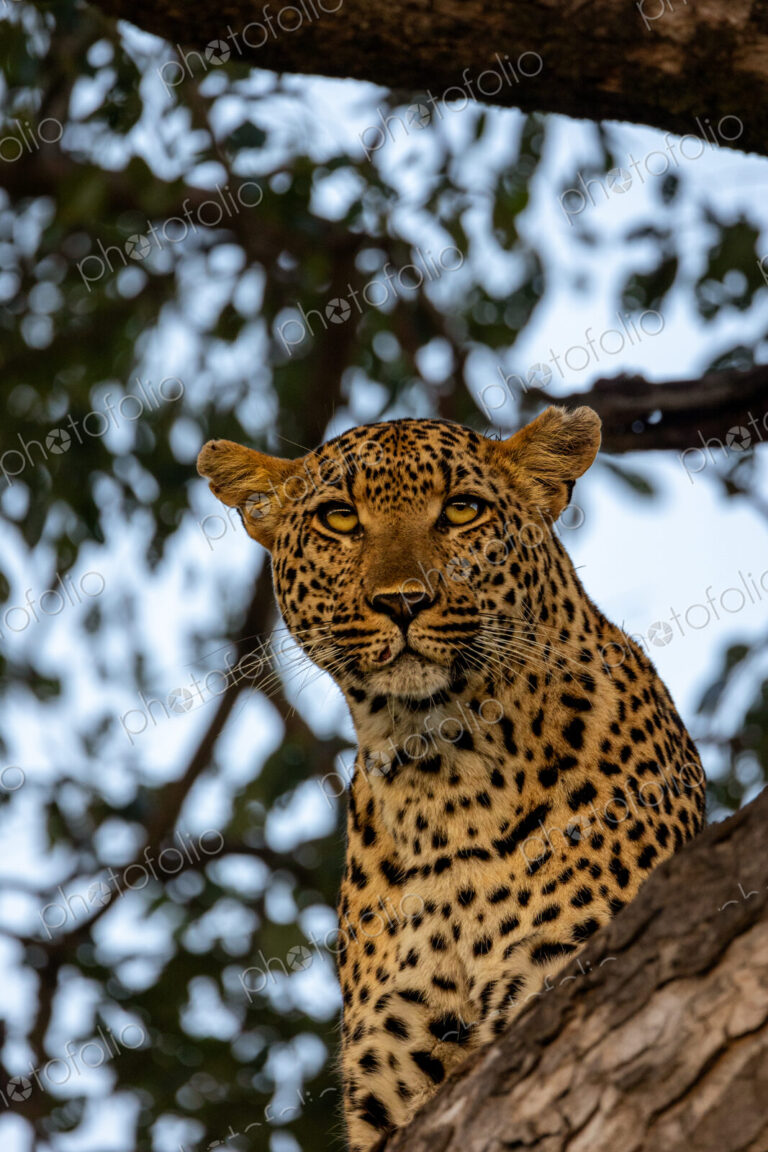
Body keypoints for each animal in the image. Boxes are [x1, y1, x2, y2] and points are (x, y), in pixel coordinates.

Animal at [197, 405, 706, 1152]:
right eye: (339, 518)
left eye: (463, 510)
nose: (403, 601)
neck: (441, 778)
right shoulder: (394, 1078)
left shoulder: (561, 971)